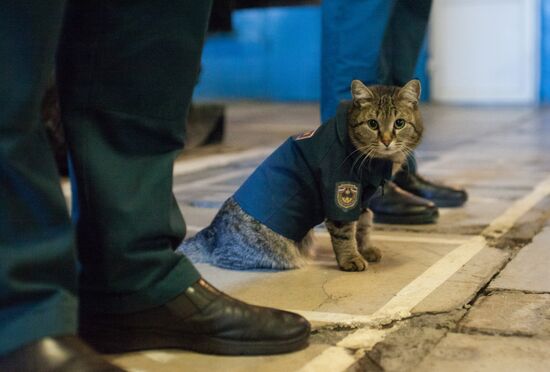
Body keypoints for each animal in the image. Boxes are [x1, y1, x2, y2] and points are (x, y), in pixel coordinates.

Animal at [179, 79, 424, 270]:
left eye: (399, 123)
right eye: (373, 124)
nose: (386, 140)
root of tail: (212, 230)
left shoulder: (362, 198)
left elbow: (363, 223)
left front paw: (365, 250)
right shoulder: (342, 190)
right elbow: (345, 232)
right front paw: (351, 259)